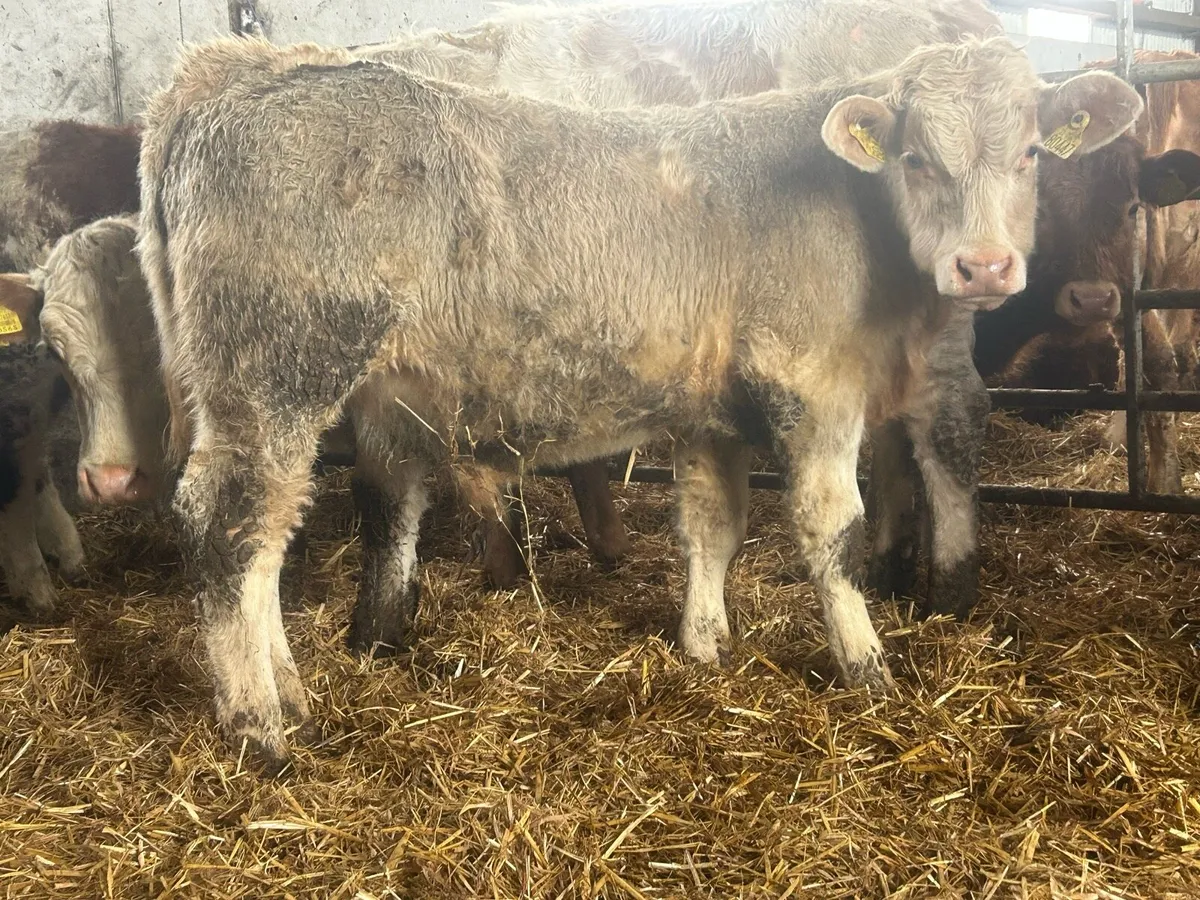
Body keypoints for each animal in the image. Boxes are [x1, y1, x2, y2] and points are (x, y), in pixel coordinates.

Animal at [136, 33, 1141, 768]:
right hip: (275, 370)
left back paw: (293, 698)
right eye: (919, 157)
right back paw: (260, 727)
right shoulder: (812, 385)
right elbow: (833, 529)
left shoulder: (708, 408)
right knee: (230, 526)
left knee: (268, 534)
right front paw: (866, 667)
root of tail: (237, 72)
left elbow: (712, 526)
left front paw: (704, 646)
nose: (985, 266)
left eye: (1031, 152)